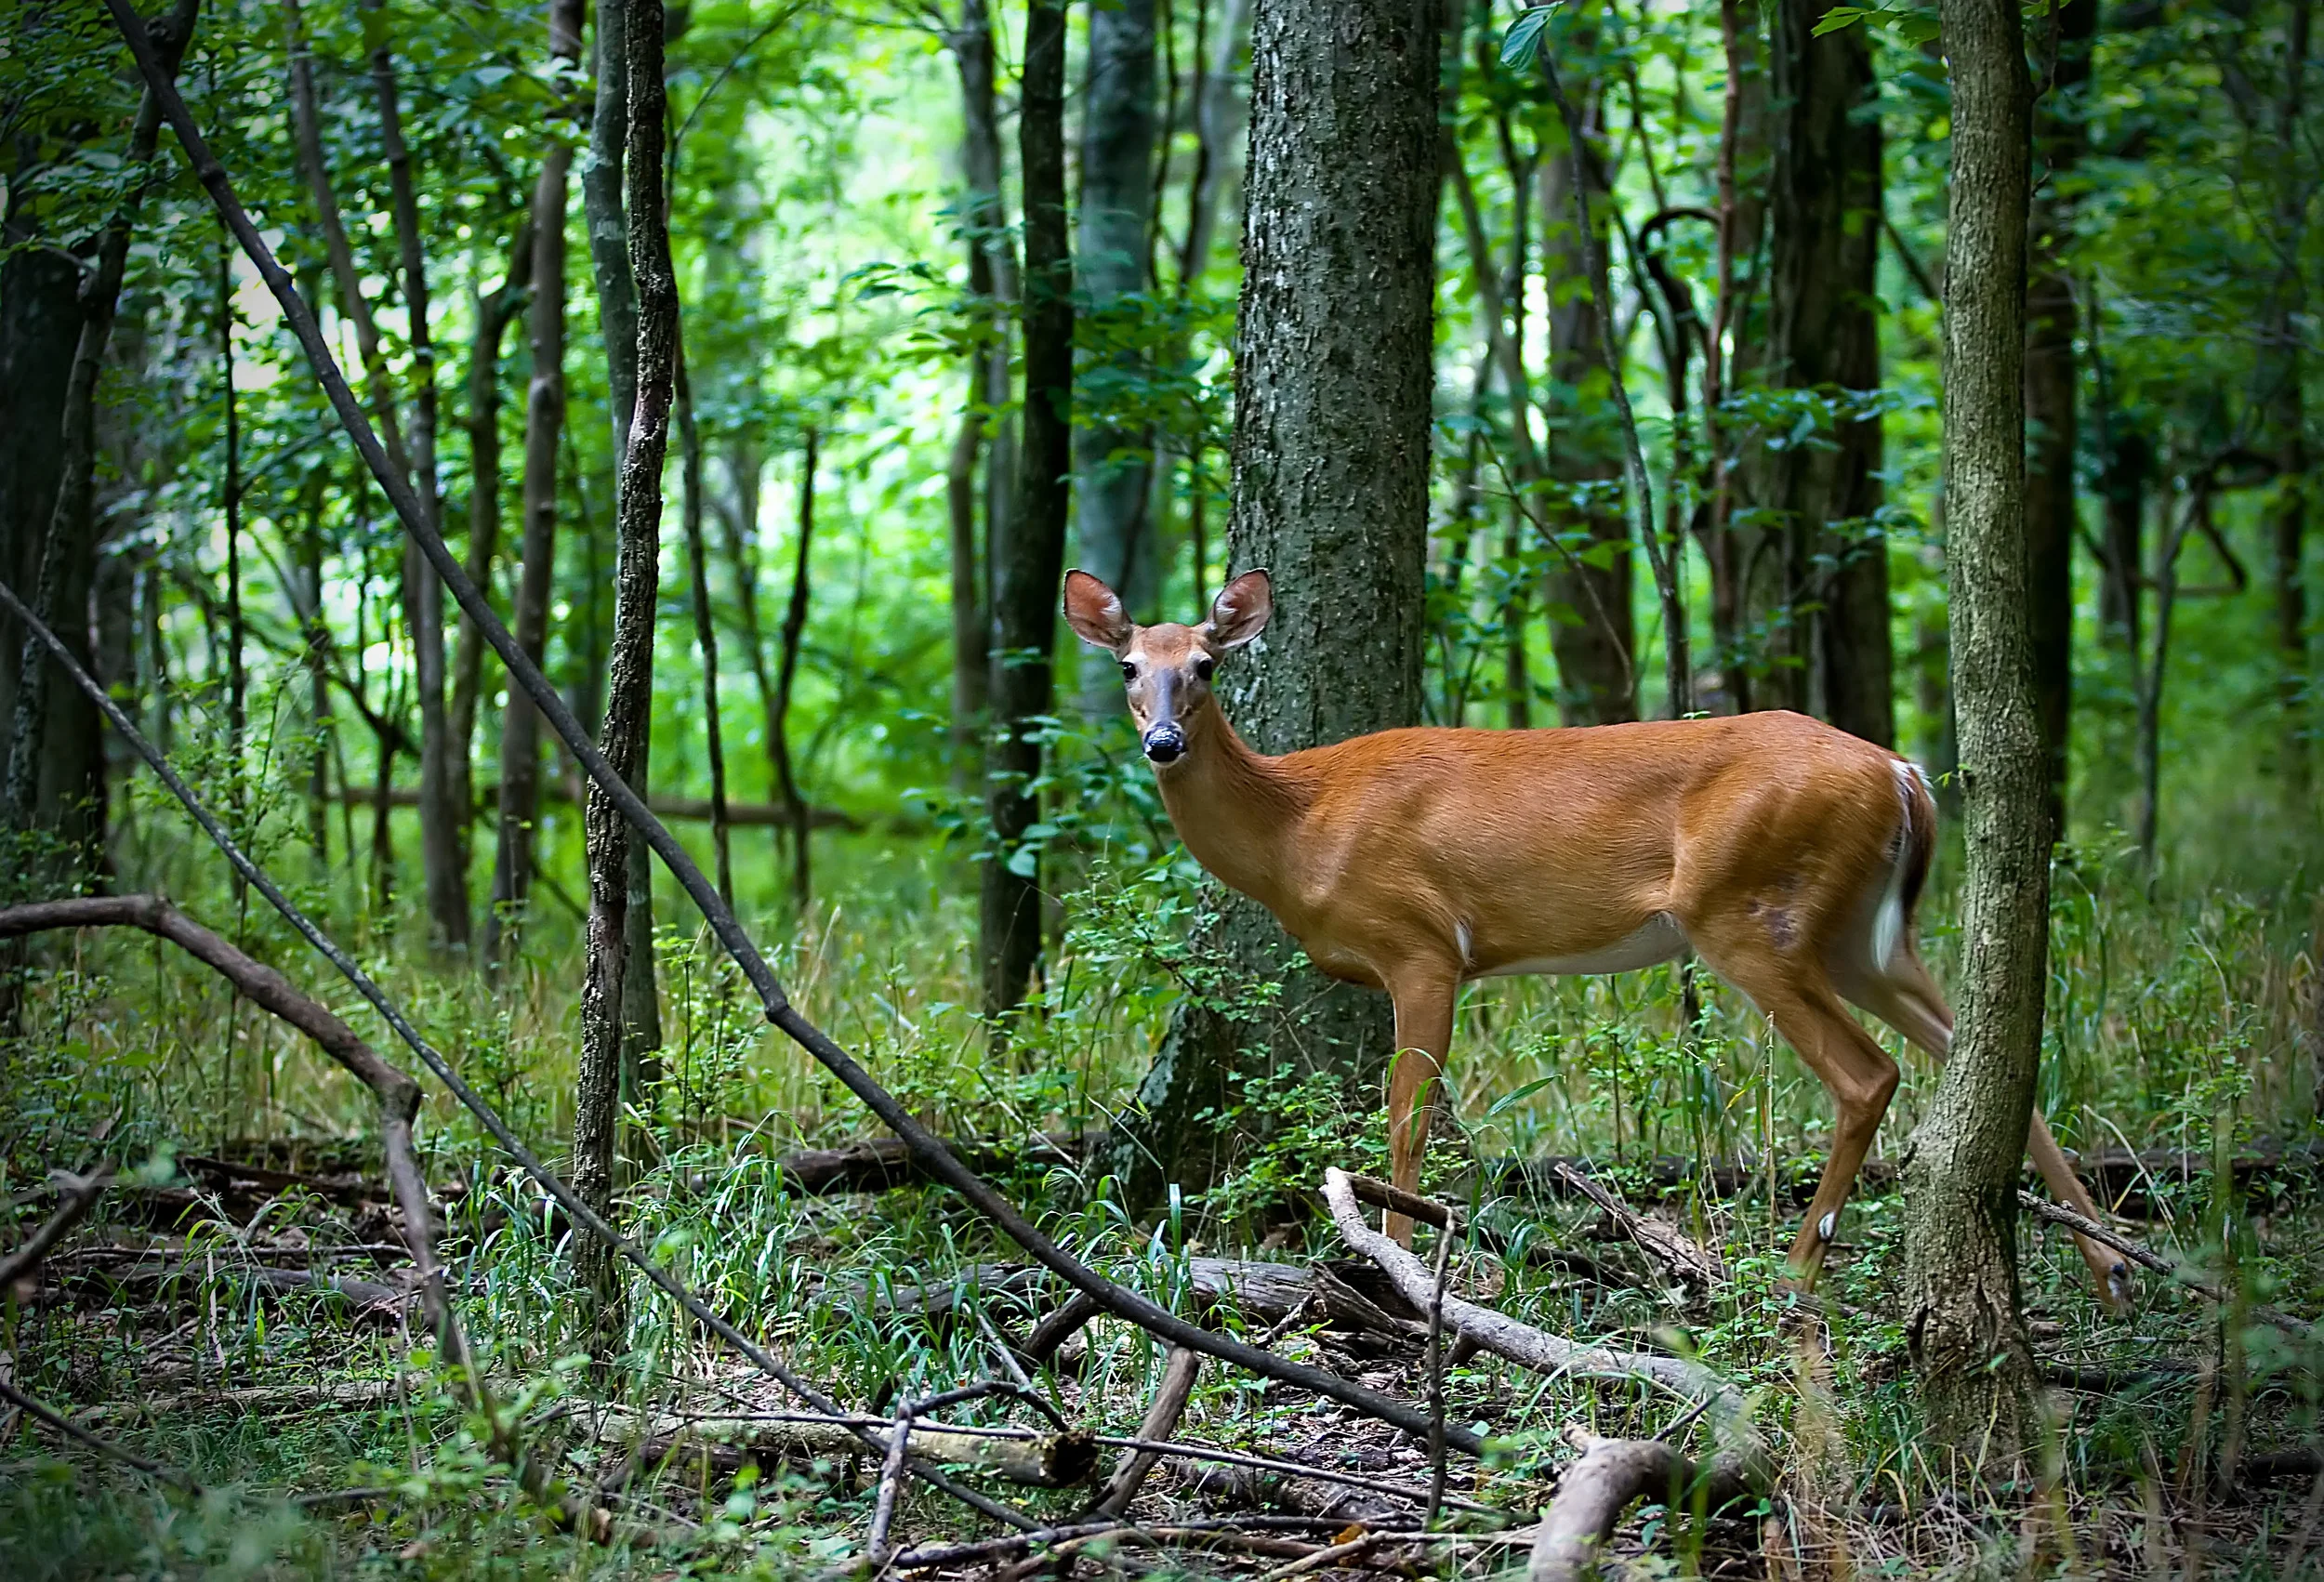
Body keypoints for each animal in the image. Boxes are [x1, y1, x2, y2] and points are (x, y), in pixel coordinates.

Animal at [1064, 566, 2132, 1310]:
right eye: (1128, 667)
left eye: (1205, 667)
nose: (1162, 741)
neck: (1298, 824)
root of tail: (1904, 774)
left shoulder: (1422, 944)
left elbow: (1406, 1113)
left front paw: (1392, 1261)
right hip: (1865, 936)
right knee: (1985, 1051)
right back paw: (2110, 1269)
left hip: (1748, 914)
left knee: (1871, 1074)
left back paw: (1792, 1277)